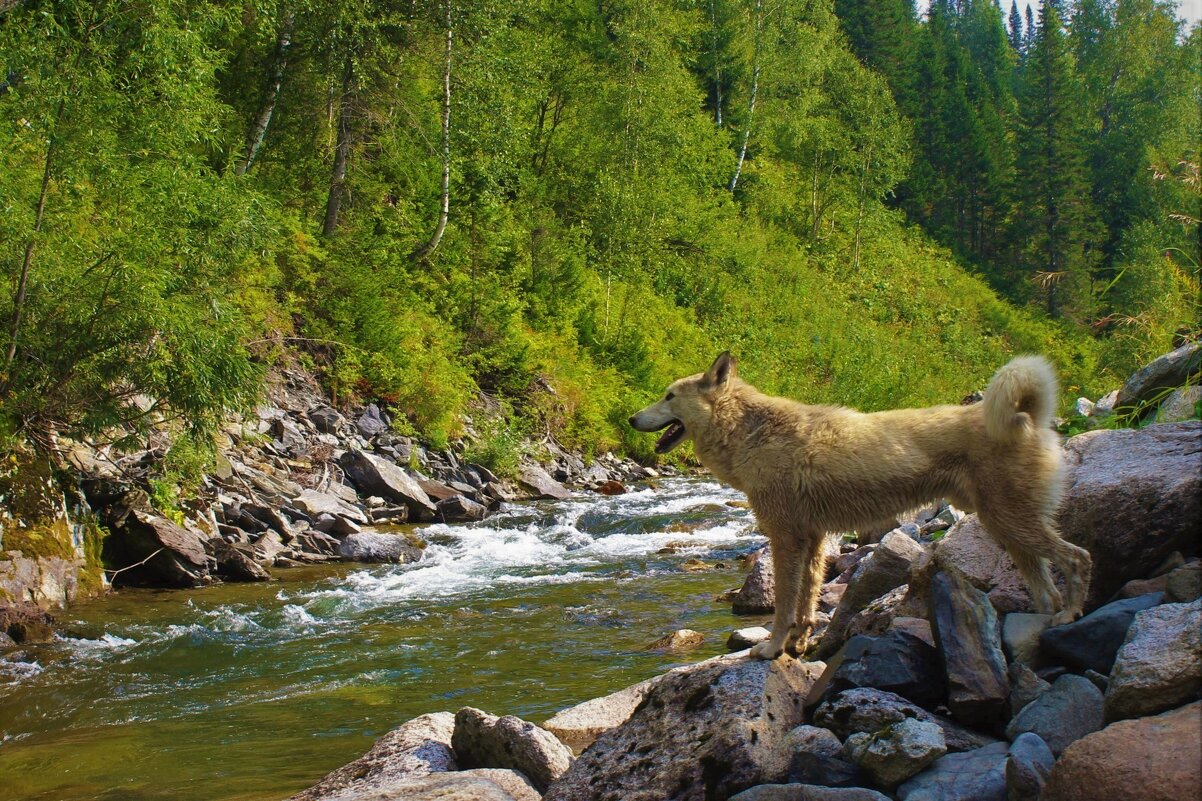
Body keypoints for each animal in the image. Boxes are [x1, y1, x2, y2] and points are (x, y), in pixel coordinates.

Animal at [629, 353, 1091, 659]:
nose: (631, 419)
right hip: (1009, 529)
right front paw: (797, 644)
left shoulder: (785, 537)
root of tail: (1032, 418)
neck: (749, 433)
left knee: (1078, 558)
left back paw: (1071, 613)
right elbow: (807, 601)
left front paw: (773, 648)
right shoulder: (813, 540)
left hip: (1013, 521)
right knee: (1047, 585)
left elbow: (784, 604)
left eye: (669, 396)